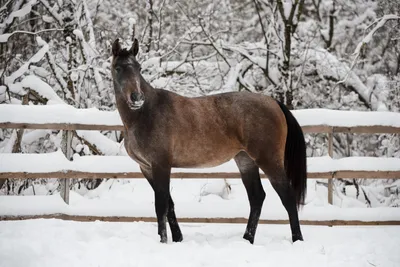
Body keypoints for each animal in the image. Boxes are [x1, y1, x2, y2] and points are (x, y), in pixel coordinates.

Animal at [111, 37, 308, 245]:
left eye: (138, 68)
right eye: (118, 68)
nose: (137, 97)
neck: (146, 113)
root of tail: (274, 103)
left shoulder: (161, 165)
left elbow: (161, 205)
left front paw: (163, 241)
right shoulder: (146, 168)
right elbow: (169, 204)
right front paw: (178, 238)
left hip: (269, 160)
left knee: (287, 197)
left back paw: (297, 239)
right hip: (245, 161)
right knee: (257, 197)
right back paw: (247, 239)